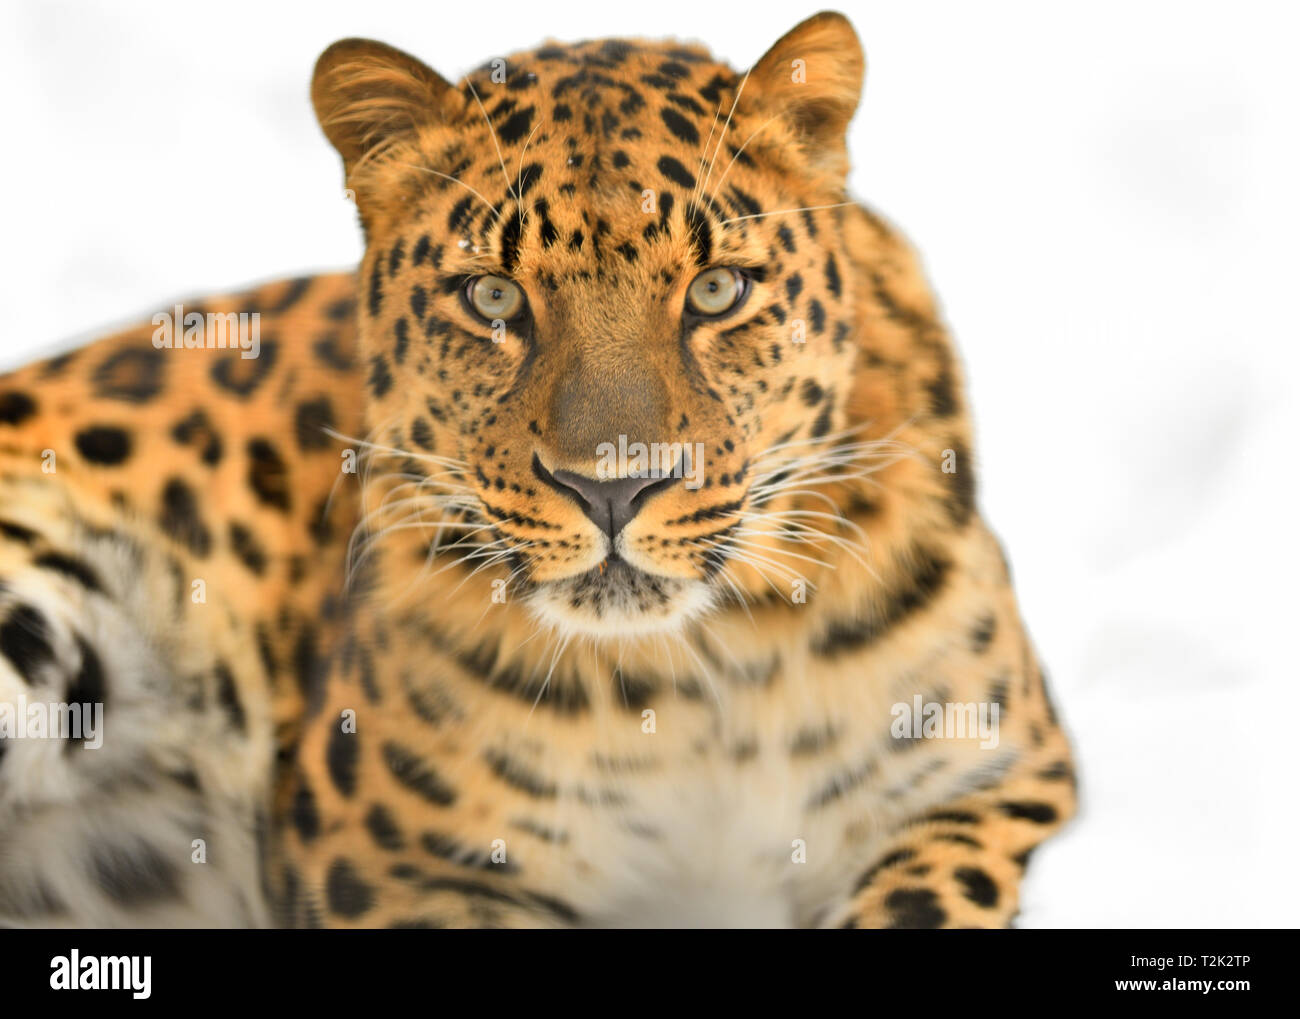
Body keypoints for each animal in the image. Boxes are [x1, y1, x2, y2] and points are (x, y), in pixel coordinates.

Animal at [0, 11, 1076, 928]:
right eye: (493, 299)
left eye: (716, 290)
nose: (614, 487)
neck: (703, 680)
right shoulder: (395, 868)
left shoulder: (985, 782)